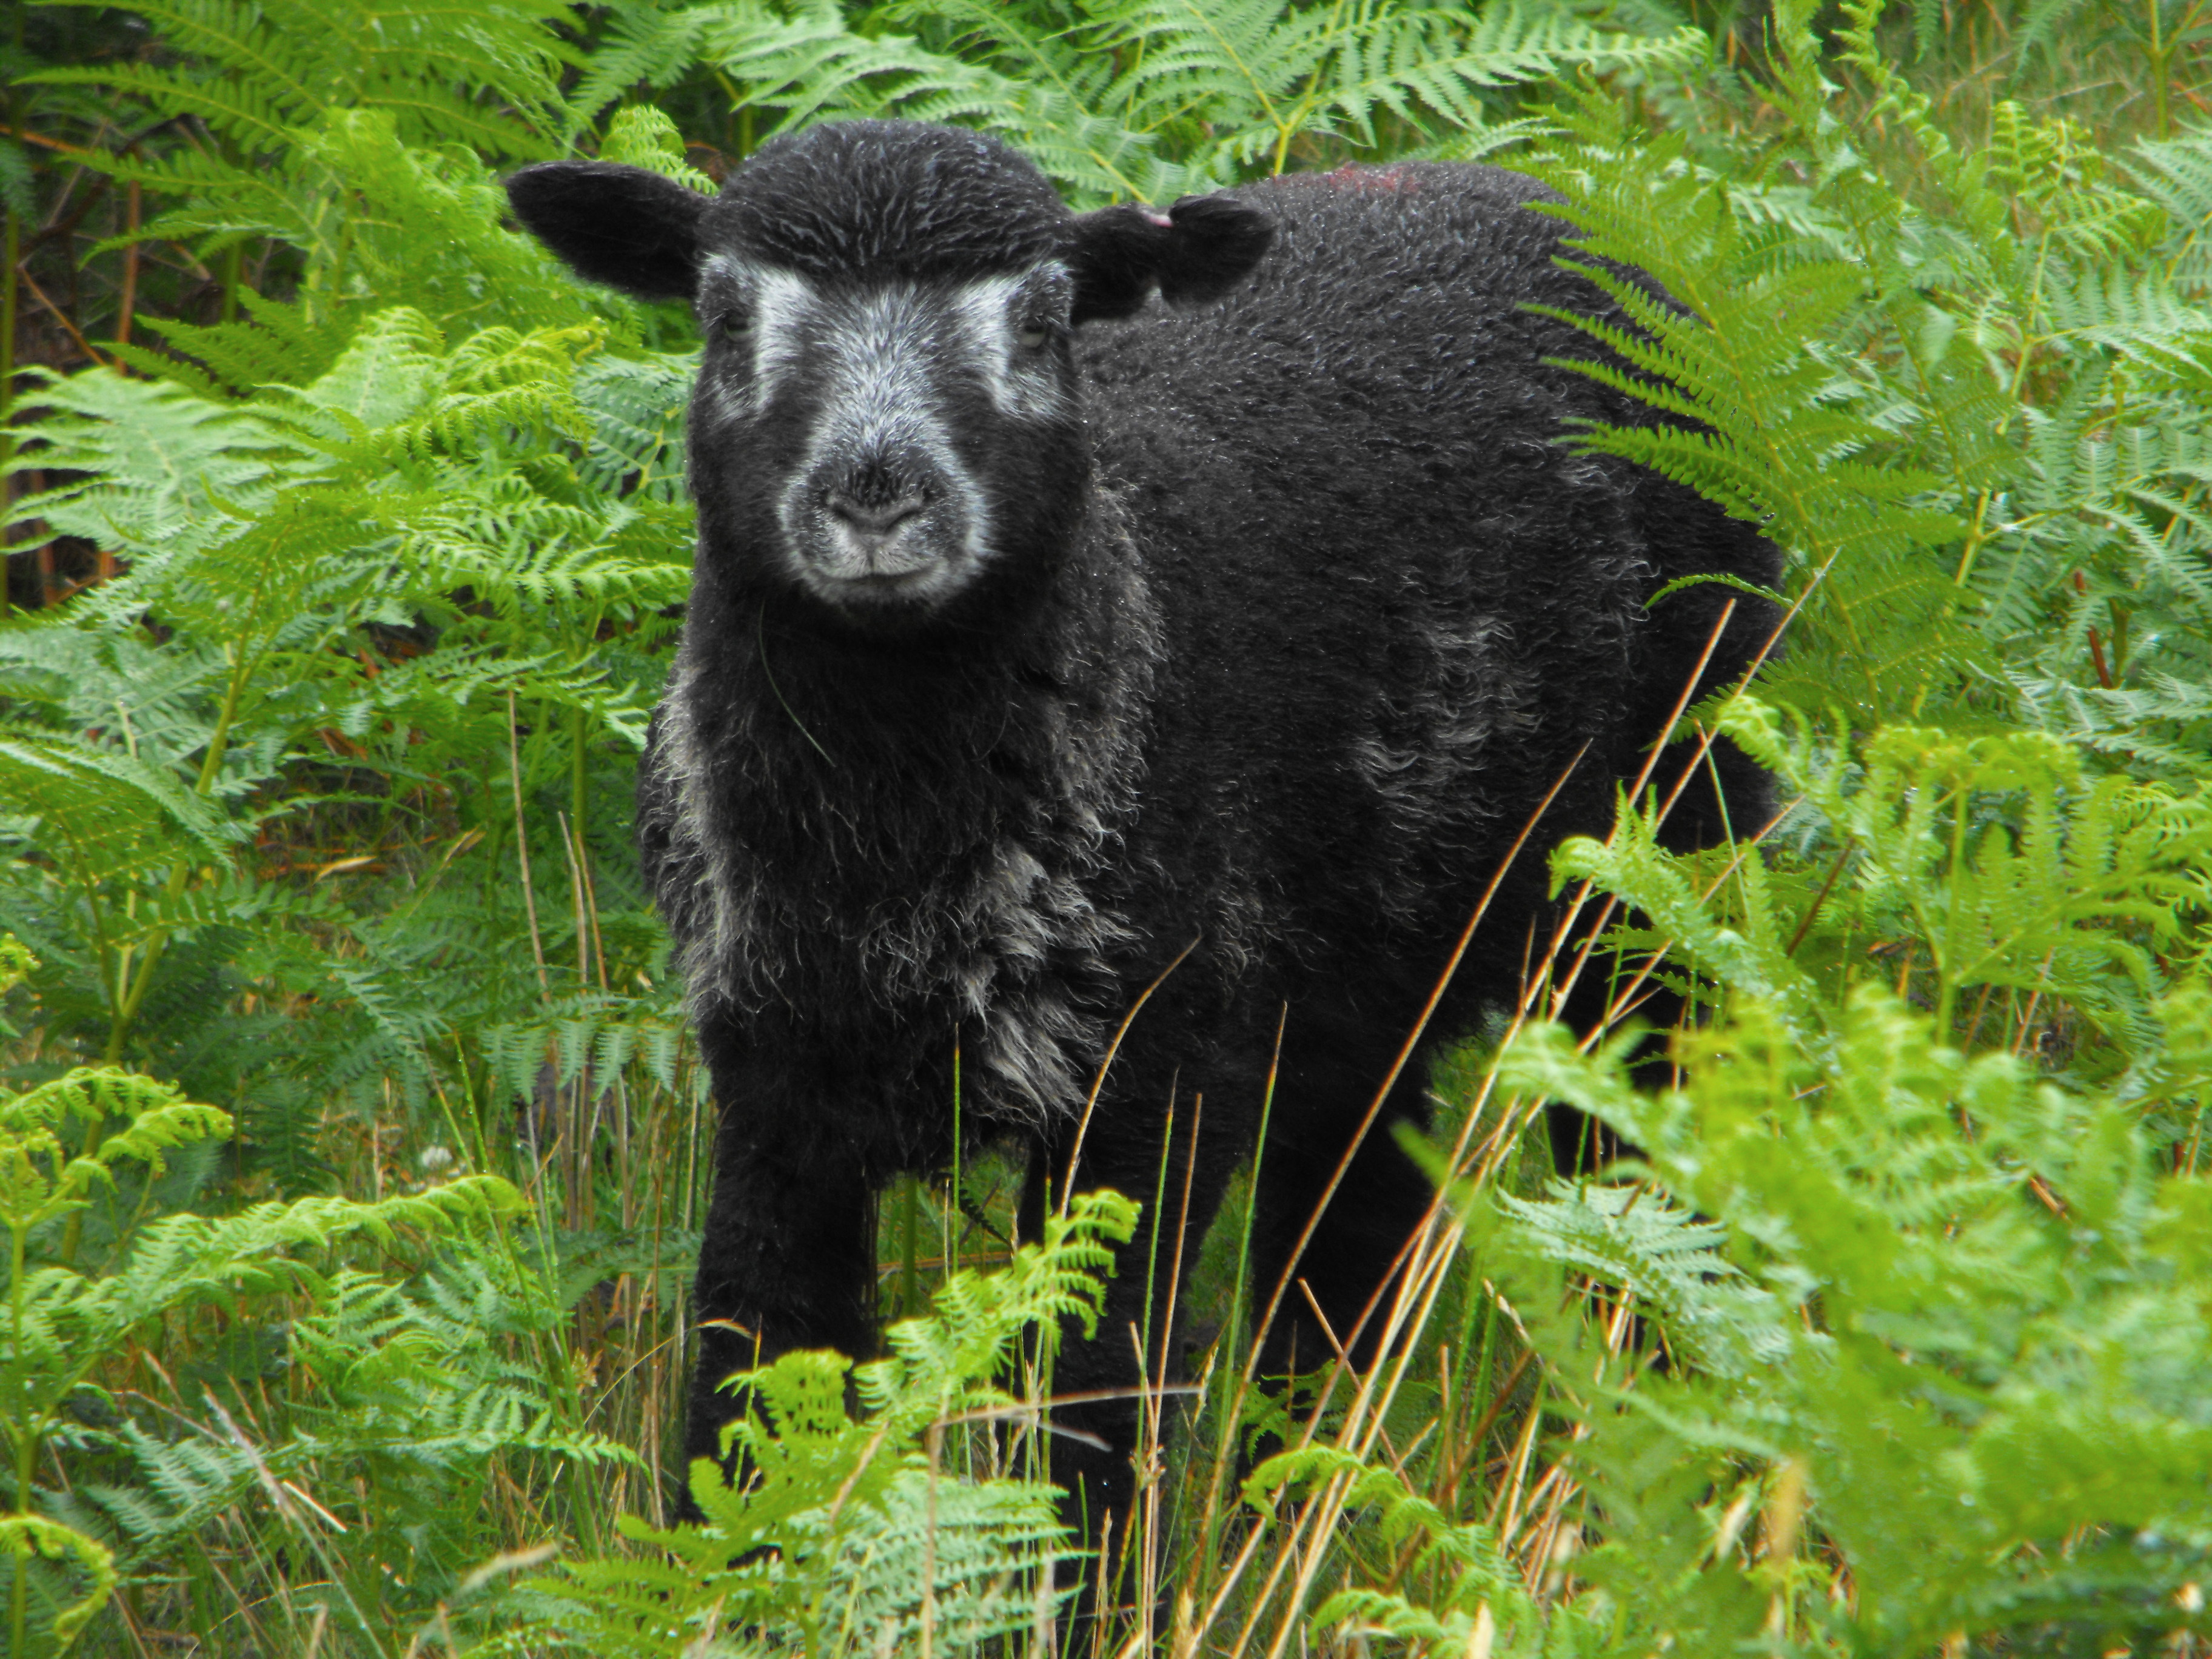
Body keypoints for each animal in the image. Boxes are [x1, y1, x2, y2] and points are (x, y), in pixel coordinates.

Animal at [505, 119, 1780, 1533]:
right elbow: (746, 1373)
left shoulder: (1150, 1073)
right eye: (725, 314)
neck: (892, 843)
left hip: (1665, 835)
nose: (878, 497)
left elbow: (1090, 1408)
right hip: (1377, 936)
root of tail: (1566, 199)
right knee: (1351, 1206)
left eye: (1042, 317)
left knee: (1640, 1139)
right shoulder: (774, 1072)